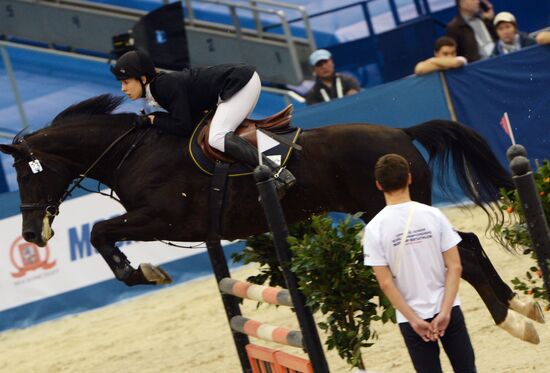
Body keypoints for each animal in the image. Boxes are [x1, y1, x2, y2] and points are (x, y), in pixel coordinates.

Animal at [0, 93, 544, 342]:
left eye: (25, 176)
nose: (29, 235)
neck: (132, 151)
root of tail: (401, 133)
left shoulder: (164, 218)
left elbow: (99, 232)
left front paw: (145, 272)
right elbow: (102, 232)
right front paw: (144, 271)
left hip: (386, 208)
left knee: (463, 253)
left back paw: (511, 318)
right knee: (467, 246)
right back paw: (520, 307)